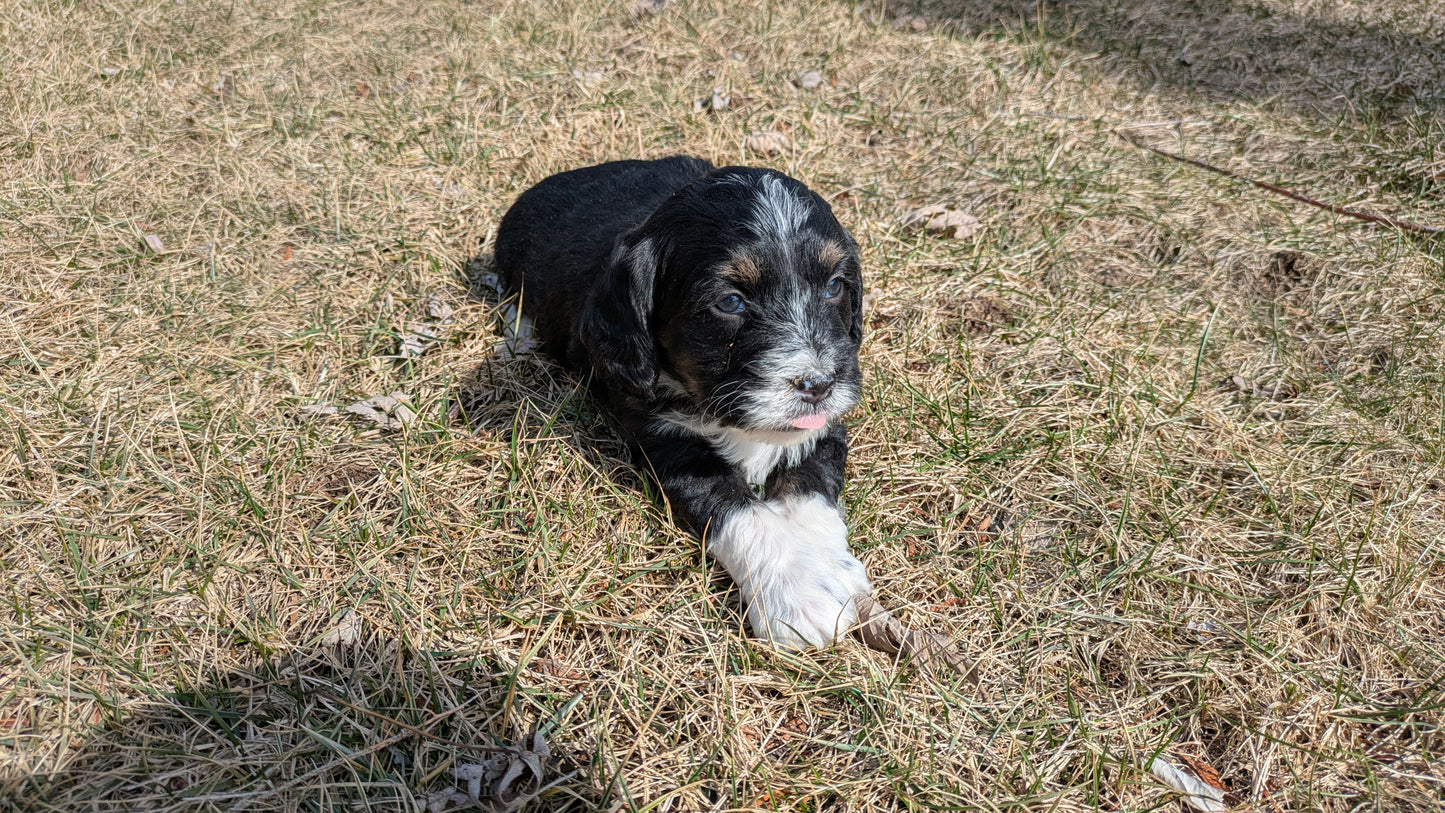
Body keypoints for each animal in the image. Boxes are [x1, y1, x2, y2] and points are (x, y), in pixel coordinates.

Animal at [497, 154, 867, 649]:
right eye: (730, 302)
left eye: (833, 286)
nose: (819, 385)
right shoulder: (667, 440)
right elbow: (740, 511)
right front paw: (798, 589)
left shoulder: (822, 428)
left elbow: (812, 491)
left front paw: (832, 570)